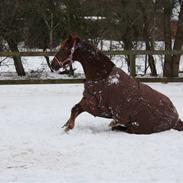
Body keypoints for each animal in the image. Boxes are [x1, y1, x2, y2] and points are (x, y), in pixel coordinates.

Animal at [51, 33, 183, 133]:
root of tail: (176, 119)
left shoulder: (94, 106)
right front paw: (66, 125)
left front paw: (68, 128)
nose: (53, 65)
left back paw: (114, 125)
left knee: (124, 129)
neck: (100, 76)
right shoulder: (88, 99)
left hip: (138, 127)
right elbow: (75, 109)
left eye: (64, 49)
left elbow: (75, 108)